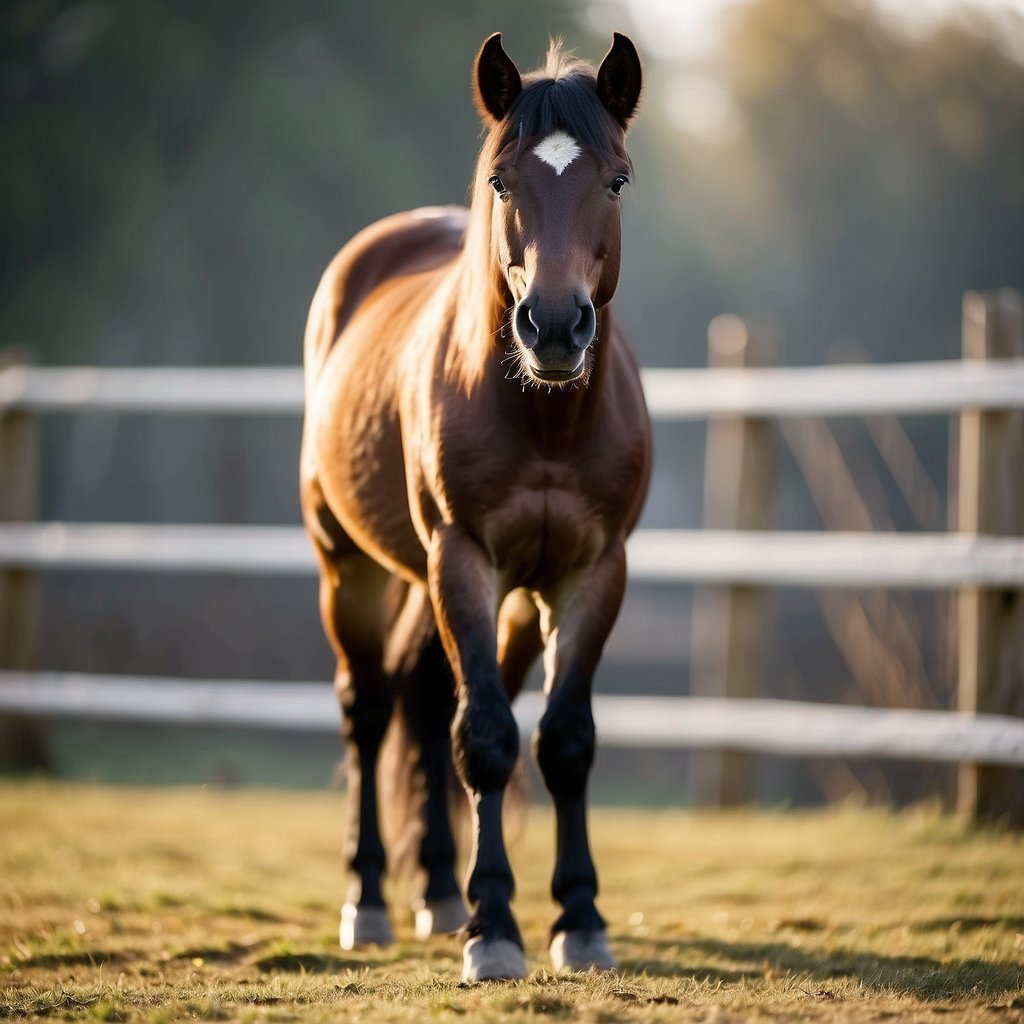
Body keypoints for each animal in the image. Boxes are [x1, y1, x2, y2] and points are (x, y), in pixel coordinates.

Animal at [300, 32, 650, 982]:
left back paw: (437, 892)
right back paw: (370, 901)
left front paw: (579, 920)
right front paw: (495, 930)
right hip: (350, 565)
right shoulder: (463, 559)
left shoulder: (587, 576)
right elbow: (486, 736)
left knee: (422, 698)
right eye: (502, 181)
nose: (555, 326)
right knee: (369, 708)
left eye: (616, 180)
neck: (547, 420)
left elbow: (563, 739)